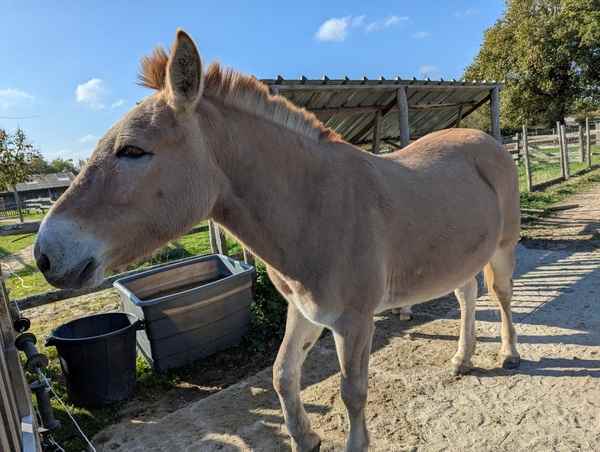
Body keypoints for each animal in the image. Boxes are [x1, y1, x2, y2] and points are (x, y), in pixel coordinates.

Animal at [35, 30, 520, 452]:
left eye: (133, 151)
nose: (45, 255)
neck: (313, 206)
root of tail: (484, 139)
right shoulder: (304, 310)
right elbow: (282, 374)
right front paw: (305, 438)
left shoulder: (353, 322)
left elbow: (352, 392)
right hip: (459, 258)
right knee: (466, 296)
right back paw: (462, 359)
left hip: (501, 249)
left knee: (500, 296)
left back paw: (509, 354)